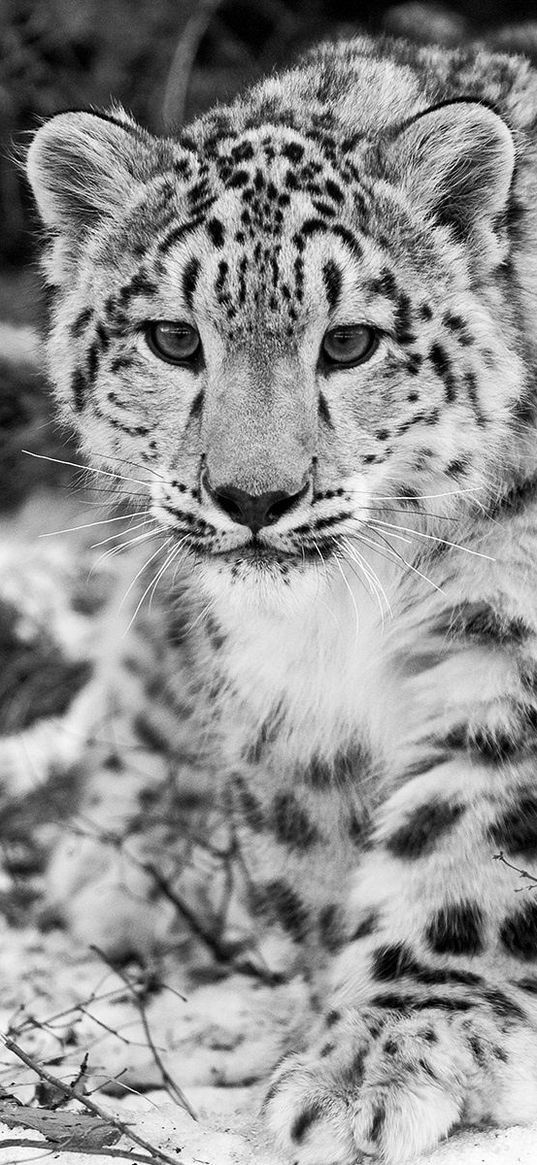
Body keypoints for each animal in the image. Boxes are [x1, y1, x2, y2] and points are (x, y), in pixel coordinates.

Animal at [25, 29, 537, 1165]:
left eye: (349, 342)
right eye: (174, 339)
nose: (254, 497)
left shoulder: (507, 646)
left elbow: (464, 847)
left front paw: (388, 1051)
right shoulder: (280, 692)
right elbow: (315, 846)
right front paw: (337, 1036)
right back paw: (127, 858)